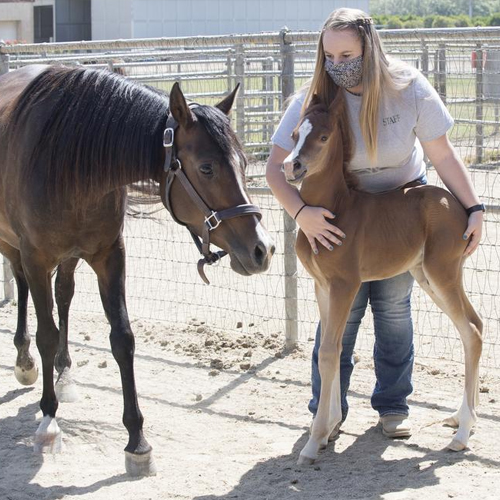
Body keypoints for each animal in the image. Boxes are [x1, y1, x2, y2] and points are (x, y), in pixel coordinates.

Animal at [0, 65, 274, 476]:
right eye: (206, 167)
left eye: (244, 163)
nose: (262, 249)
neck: (65, 157)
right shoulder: (36, 257)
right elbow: (46, 333)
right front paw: (49, 420)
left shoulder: (110, 255)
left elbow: (122, 339)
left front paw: (137, 440)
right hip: (14, 246)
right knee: (22, 286)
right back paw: (25, 360)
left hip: (70, 256)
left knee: (64, 296)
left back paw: (64, 373)